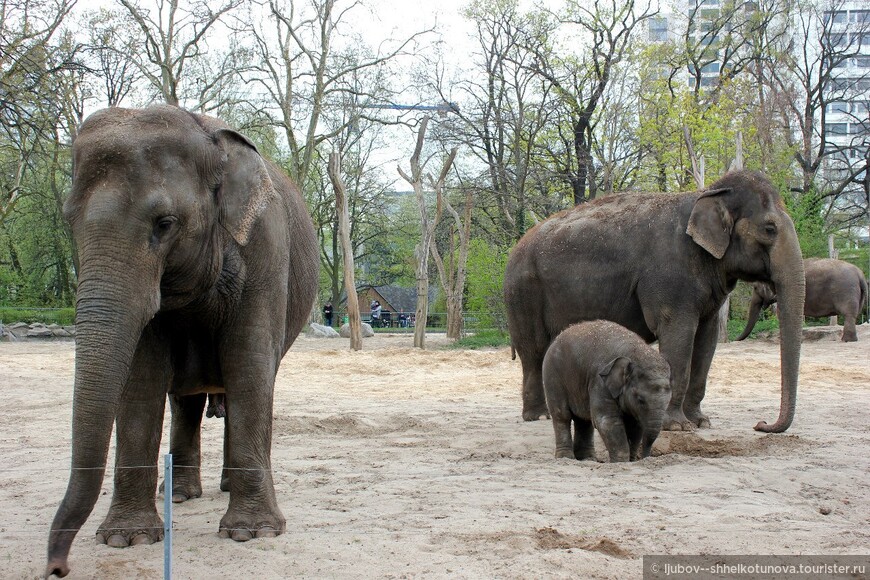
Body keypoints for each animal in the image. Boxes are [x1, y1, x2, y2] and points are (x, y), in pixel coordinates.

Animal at [47, 106, 320, 576]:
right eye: (69, 222)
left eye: (165, 224)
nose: (57, 568)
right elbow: (141, 379)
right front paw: (127, 538)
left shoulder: (266, 245)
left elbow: (248, 364)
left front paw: (251, 534)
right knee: (186, 401)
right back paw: (177, 494)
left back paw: (223, 488)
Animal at [508, 172, 808, 436]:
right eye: (770, 229)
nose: (760, 424)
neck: (707, 194)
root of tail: (516, 246)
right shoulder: (670, 280)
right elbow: (679, 338)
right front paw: (676, 426)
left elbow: (706, 340)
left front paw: (700, 422)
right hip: (524, 293)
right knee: (534, 352)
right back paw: (539, 416)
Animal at [544, 322, 676, 462]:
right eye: (640, 400)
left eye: (668, 402)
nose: (644, 458)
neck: (635, 353)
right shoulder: (600, 382)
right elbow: (606, 420)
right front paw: (621, 461)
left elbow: (635, 424)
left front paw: (631, 459)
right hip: (552, 376)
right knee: (562, 415)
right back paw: (566, 457)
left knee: (584, 420)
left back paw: (588, 459)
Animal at [740, 258, 868, 342]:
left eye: (755, 287)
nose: (737, 340)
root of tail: (860, 275)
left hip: (846, 291)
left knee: (849, 314)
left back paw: (847, 340)